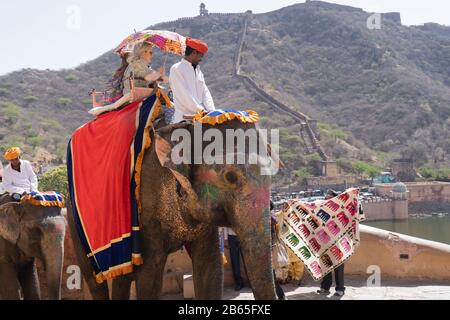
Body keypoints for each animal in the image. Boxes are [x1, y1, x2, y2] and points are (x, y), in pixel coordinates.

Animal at [69, 117, 278, 300]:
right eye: (230, 177)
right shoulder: (146, 208)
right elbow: (149, 276)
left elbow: (209, 267)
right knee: (97, 281)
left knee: (122, 277)